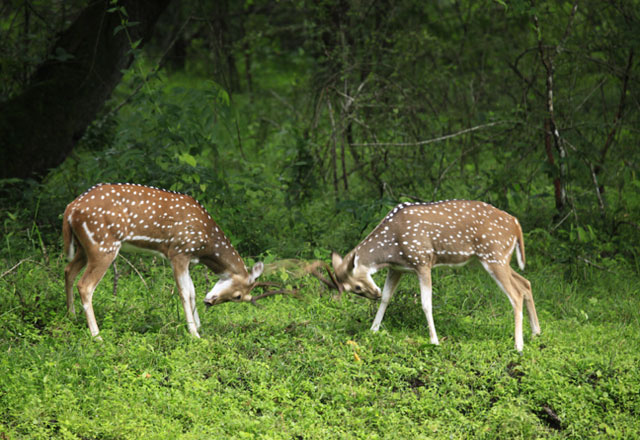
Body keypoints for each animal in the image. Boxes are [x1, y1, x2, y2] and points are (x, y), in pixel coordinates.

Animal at [63, 182, 264, 336]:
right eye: (238, 296)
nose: (210, 302)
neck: (206, 242)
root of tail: (70, 209)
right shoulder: (179, 251)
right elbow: (185, 292)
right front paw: (194, 333)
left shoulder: (188, 258)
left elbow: (193, 291)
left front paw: (199, 326)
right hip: (103, 245)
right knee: (85, 285)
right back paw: (97, 335)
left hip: (84, 247)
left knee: (68, 270)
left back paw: (72, 317)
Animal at [330, 201, 540, 352]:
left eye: (356, 287)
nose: (374, 294)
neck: (390, 249)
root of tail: (516, 224)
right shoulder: (397, 268)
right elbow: (387, 298)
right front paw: (373, 330)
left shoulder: (423, 261)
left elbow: (426, 303)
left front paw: (434, 340)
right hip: (500, 258)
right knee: (525, 283)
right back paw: (536, 333)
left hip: (494, 255)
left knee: (515, 295)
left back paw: (518, 345)